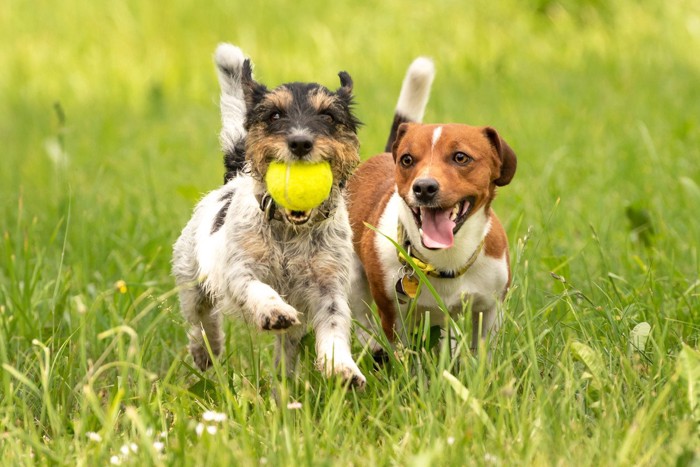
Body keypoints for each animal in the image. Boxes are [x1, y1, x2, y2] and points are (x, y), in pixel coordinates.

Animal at [172, 44, 366, 388]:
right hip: (190, 277)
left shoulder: (329, 285)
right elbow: (258, 289)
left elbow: (334, 323)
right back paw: (206, 350)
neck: (290, 230)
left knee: (286, 349)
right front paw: (274, 311)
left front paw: (342, 367)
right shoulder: (240, 270)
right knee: (200, 320)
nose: (300, 142)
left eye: (328, 116)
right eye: (274, 114)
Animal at [348, 57, 516, 354]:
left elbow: (482, 353)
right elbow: (402, 355)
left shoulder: (489, 309)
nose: (424, 187)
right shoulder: (393, 313)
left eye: (461, 157)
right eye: (407, 159)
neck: (445, 261)